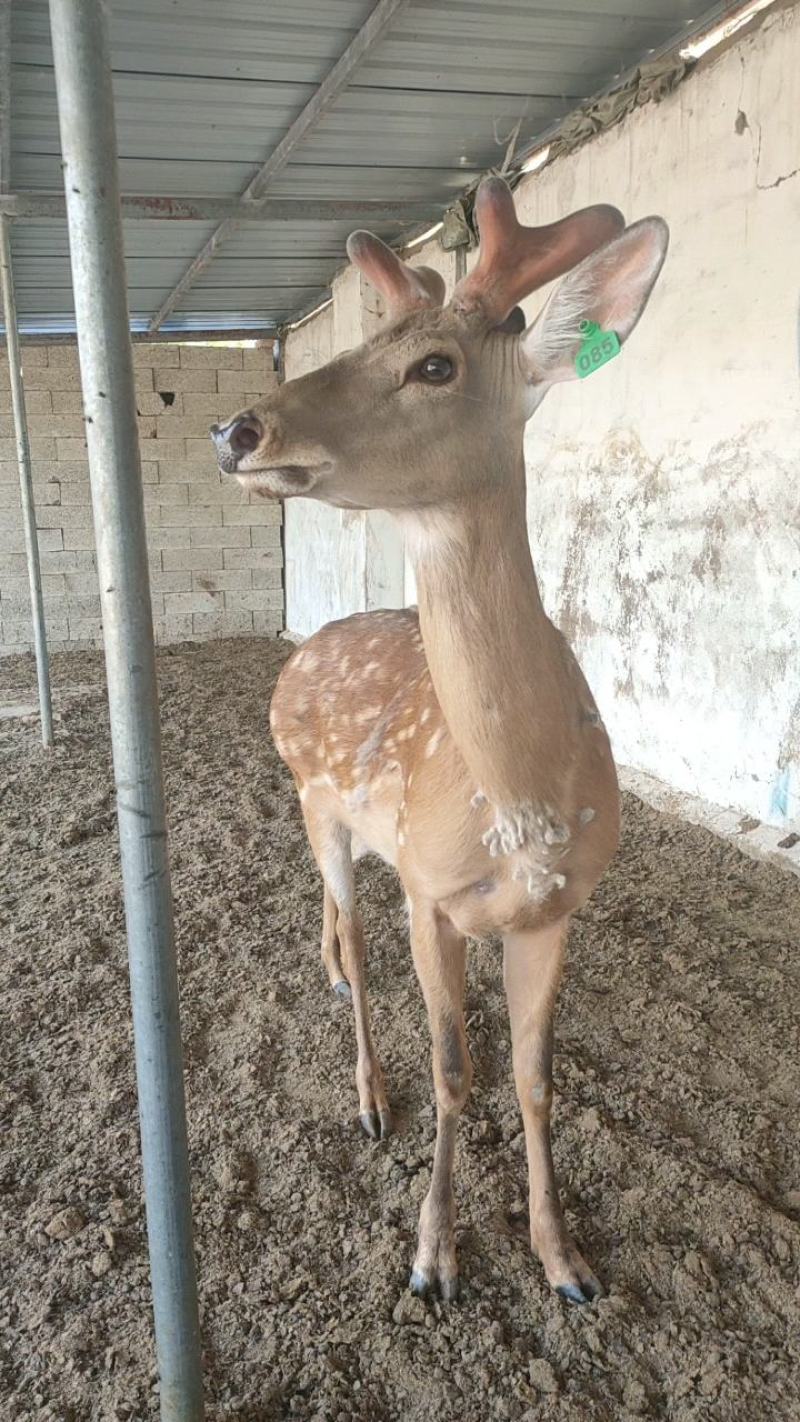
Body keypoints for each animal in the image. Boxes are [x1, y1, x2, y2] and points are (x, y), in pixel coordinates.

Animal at [211, 176, 668, 1306]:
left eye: (433, 365)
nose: (237, 428)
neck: (522, 803)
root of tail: (302, 650)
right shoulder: (432, 894)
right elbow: (455, 1072)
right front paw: (432, 1256)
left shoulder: (558, 907)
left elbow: (534, 1077)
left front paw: (564, 1260)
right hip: (313, 799)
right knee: (356, 937)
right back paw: (369, 1095)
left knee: (335, 927)